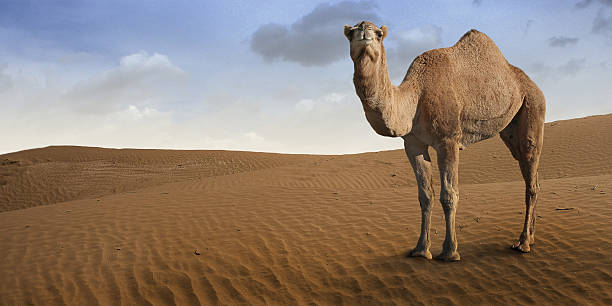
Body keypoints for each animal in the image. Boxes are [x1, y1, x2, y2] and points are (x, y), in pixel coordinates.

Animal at [344, 21, 544, 260]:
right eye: (350, 33)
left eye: (379, 33)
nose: (364, 28)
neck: (415, 97)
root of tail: (532, 84)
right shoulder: (413, 145)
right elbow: (425, 196)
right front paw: (421, 250)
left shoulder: (448, 140)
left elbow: (449, 195)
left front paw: (450, 252)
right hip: (511, 128)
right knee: (528, 172)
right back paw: (530, 237)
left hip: (533, 106)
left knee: (530, 171)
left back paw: (523, 243)